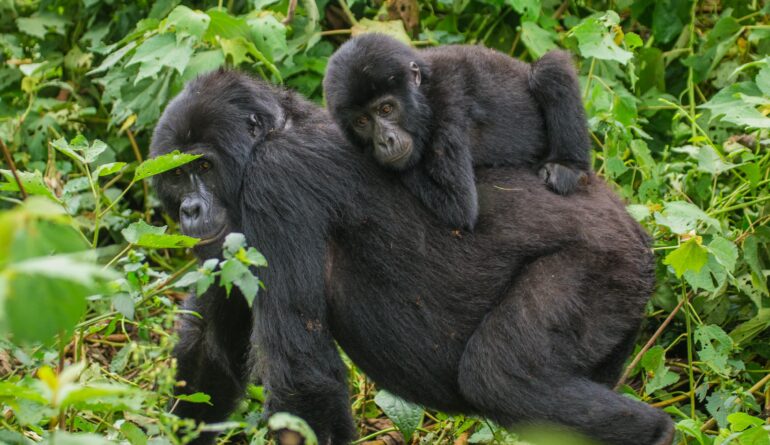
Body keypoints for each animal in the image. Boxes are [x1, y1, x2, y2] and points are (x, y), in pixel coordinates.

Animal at [150, 70, 672, 444]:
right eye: (175, 175)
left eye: (203, 167)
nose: (190, 210)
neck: (274, 131)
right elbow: (209, 354)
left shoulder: (275, 183)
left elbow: (302, 379)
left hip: (606, 261)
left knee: (501, 376)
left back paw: (656, 433)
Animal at [324, 33, 588, 229]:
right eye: (362, 121)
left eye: (386, 109)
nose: (385, 141)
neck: (424, 93)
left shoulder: (447, 107)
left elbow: (458, 206)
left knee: (550, 69)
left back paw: (568, 166)